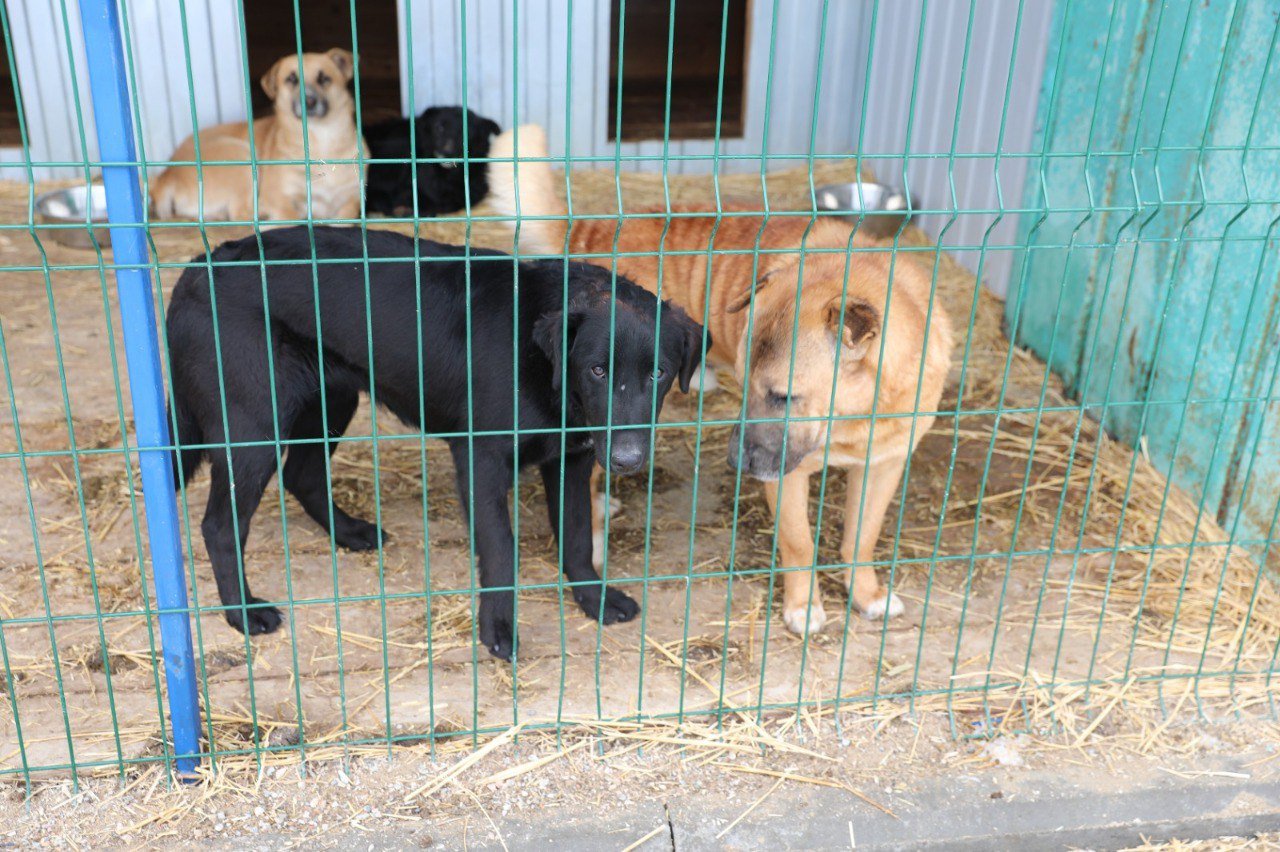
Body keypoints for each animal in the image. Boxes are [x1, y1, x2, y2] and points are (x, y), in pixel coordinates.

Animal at [152, 48, 371, 222]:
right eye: (291, 79)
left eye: (324, 78)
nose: (308, 101)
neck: (322, 139)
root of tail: (166, 175)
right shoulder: (277, 196)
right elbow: (291, 216)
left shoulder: (353, 199)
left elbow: (346, 216)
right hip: (242, 155)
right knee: (239, 213)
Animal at [165, 223, 706, 654]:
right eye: (597, 369)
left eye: (659, 373)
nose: (627, 458)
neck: (541, 363)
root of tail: (197, 269)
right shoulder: (481, 460)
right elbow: (501, 551)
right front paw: (498, 630)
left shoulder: (571, 460)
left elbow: (575, 539)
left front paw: (594, 600)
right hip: (254, 426)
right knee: (219, 526)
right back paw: (243, 612)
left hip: (331, 402)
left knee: (302, 475)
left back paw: (351, 533)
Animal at [488, 124, 952, 629]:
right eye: (747, 387)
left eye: (784, 396)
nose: (738, 463)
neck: (857, 415)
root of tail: (594, 229)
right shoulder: (787, 477)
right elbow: (799, 543)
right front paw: (804, 606)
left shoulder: (884, 466)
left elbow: (860, 539)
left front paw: (866, 594)